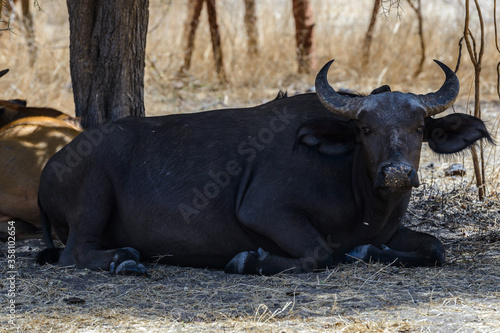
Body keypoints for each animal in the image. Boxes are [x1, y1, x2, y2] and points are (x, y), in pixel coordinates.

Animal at [38, 60, 492, 274]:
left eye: (418, 128)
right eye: (365, 129)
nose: (396, 173)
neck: (364, 201)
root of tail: (53, 164)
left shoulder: (391, 231)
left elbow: (435, 248)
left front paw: (367, 251)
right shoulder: (265, 210)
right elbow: (319, 253)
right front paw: (247, 260)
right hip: (94, 193)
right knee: (75, 253)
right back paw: (124, 260)